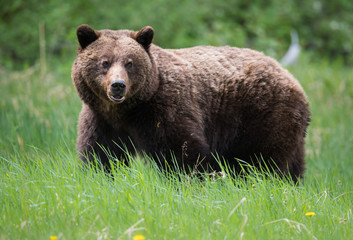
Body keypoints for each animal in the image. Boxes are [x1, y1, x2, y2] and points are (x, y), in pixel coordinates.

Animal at [71, 24, 308, 182]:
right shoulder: (101, 118)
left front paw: (186, 181)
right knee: (293, 165)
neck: (127, 110)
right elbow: (100, 153)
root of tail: (291, 77)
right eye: (105, 62)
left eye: (129, 63)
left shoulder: (163, 108)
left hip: (262, 114)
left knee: (261, 160)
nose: (118, 85)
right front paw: (100, 177)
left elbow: (181, 150)